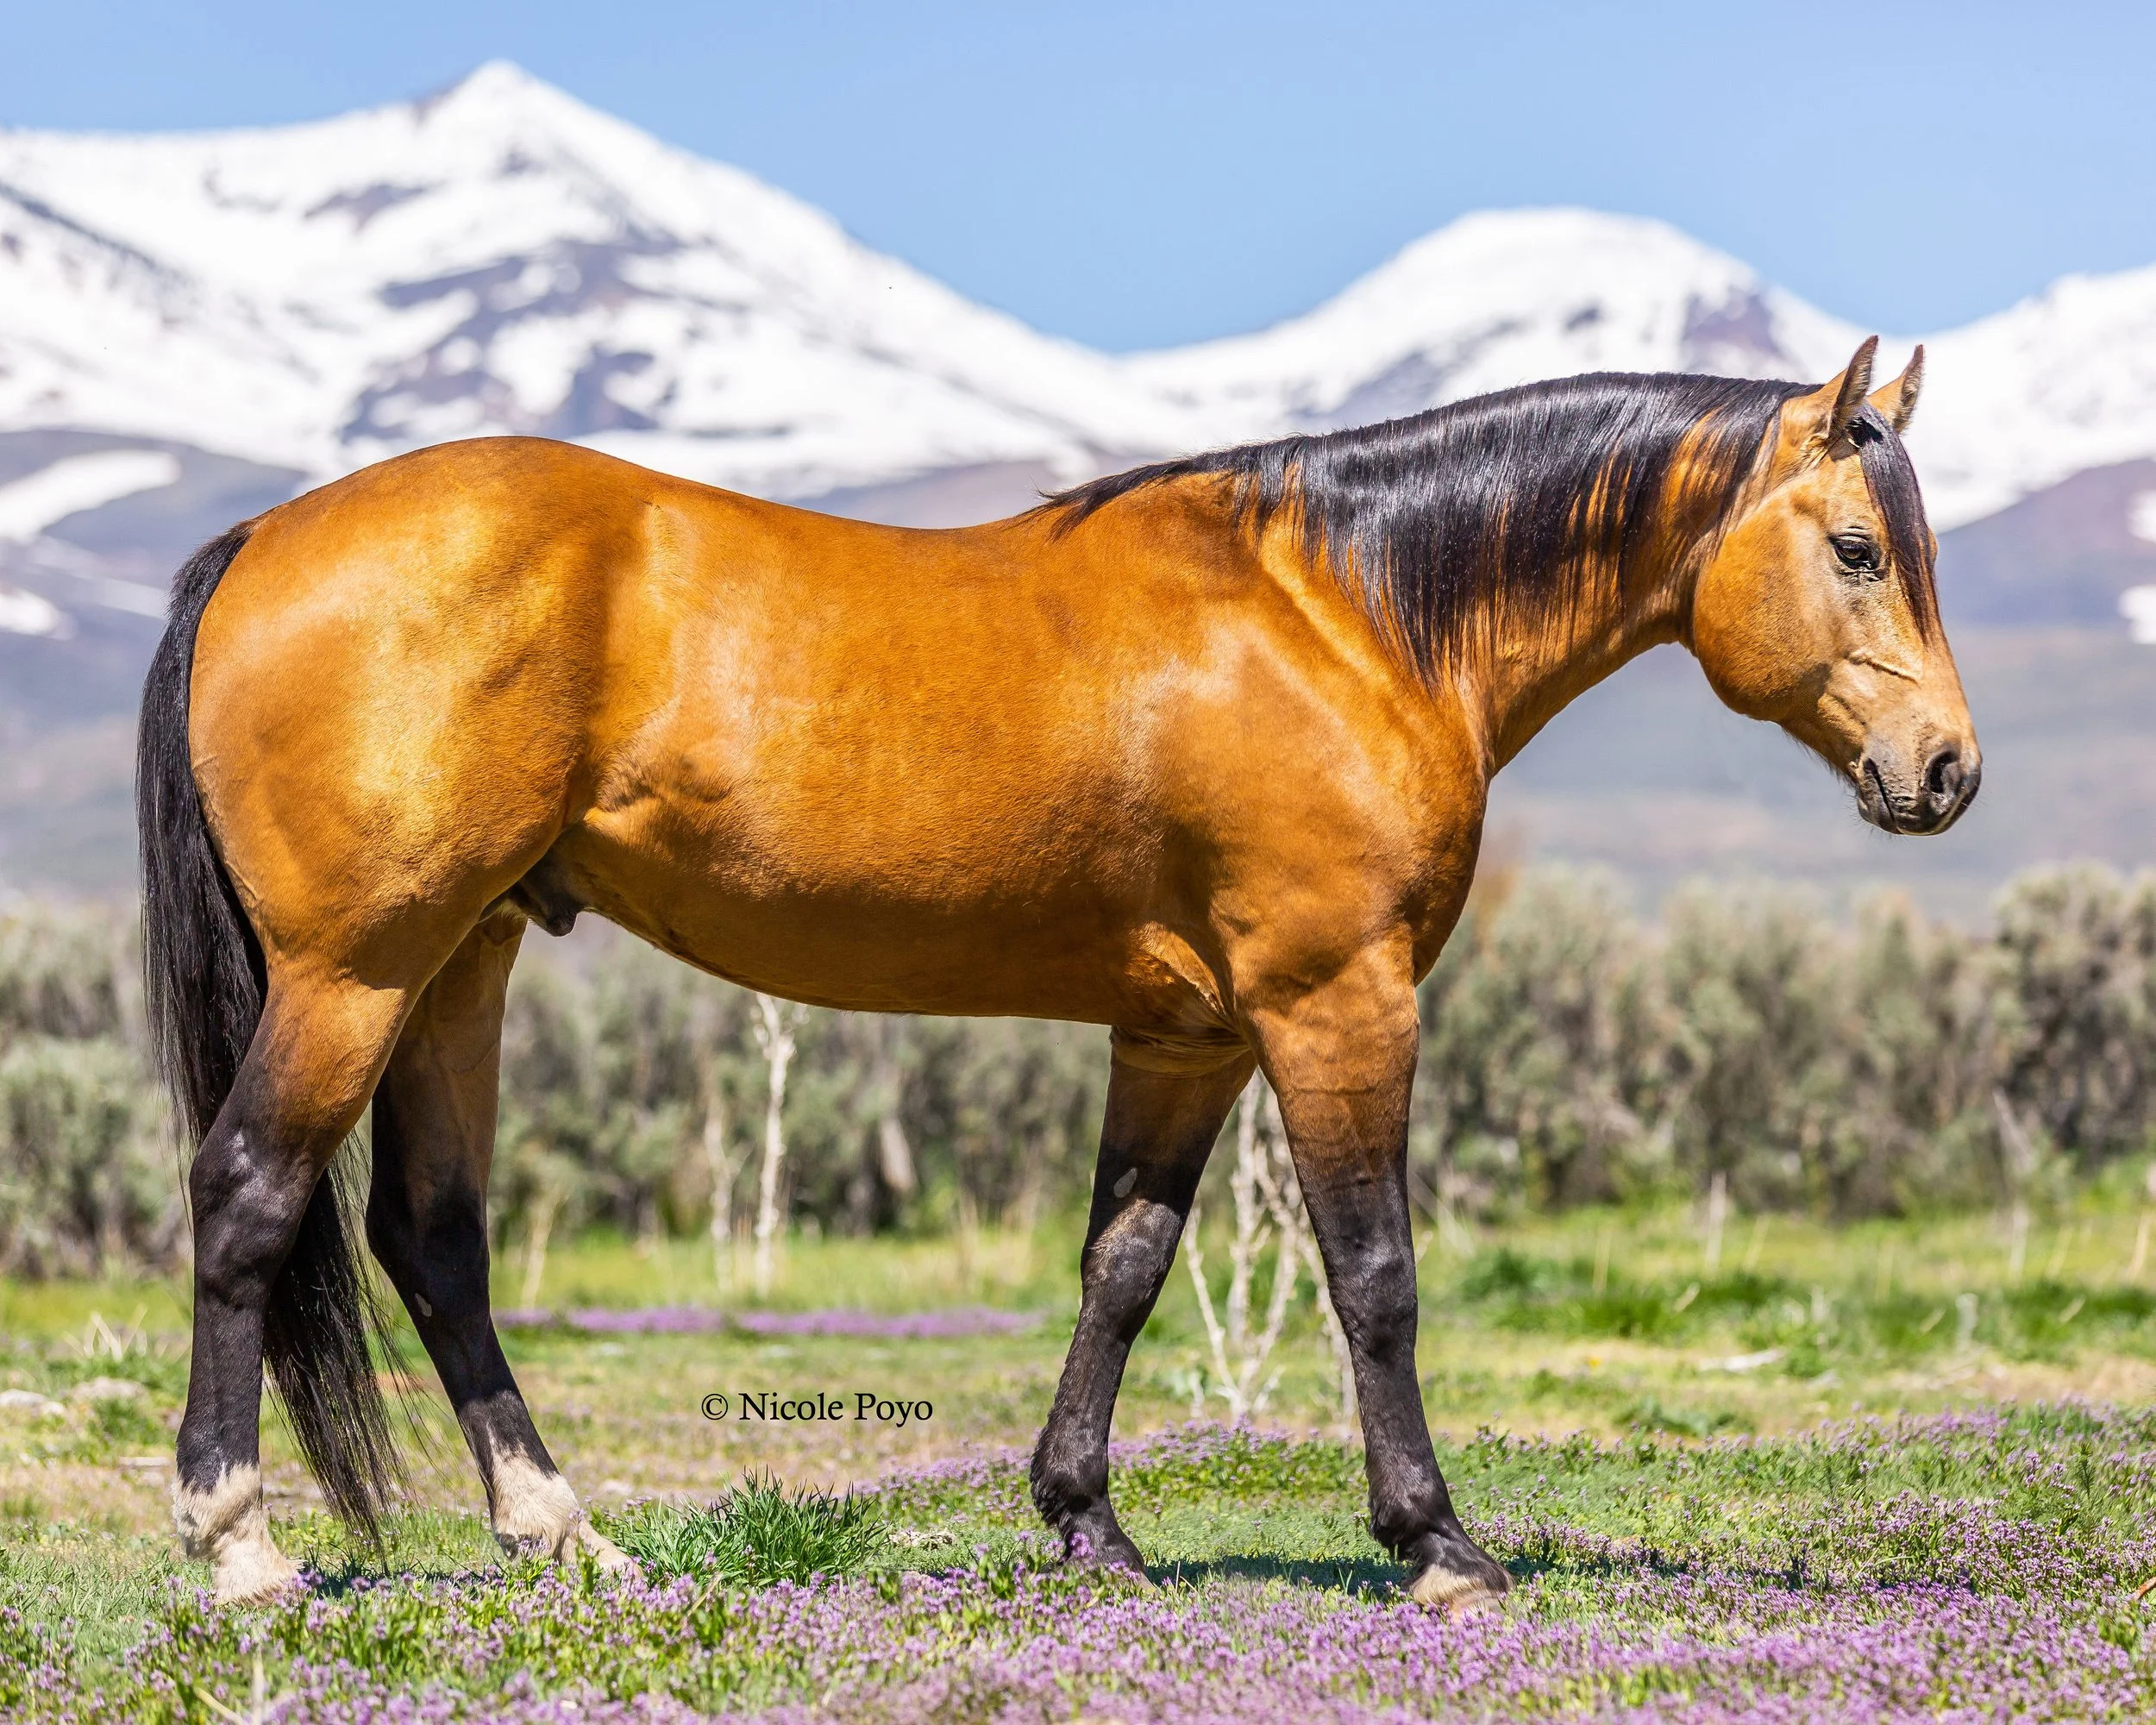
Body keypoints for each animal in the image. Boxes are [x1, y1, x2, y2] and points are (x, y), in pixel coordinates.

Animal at [138, 336, 1975, 1609]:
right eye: (1859, 550)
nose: (1946, 771)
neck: (1344, 614)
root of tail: (263, 534)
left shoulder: (1186, 1036)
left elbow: (1124, 1266)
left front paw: (1089, 1524)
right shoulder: (1336, 1004)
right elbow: (1374, 1275)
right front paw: (1439, 1543)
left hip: (463, 962)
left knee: (432, 1240)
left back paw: (562, 1535)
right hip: (357, 971)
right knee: (248, 1193)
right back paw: (240, 1550)